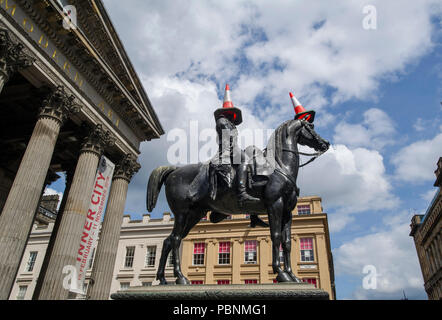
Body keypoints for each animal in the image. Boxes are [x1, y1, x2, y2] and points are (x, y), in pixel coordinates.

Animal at [147, 119, 330, 284]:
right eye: (311, 126)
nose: (325, 143)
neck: (279, 167)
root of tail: (175, 170)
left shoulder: (287, 212)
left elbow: (287, 243)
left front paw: (292, 276)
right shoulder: (275, 205)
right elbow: (276, 237)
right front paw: (281, 273)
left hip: (194, 214)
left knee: (169, 240)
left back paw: (163, 279)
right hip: (182, 213)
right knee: (176, 239)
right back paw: (180, 277)